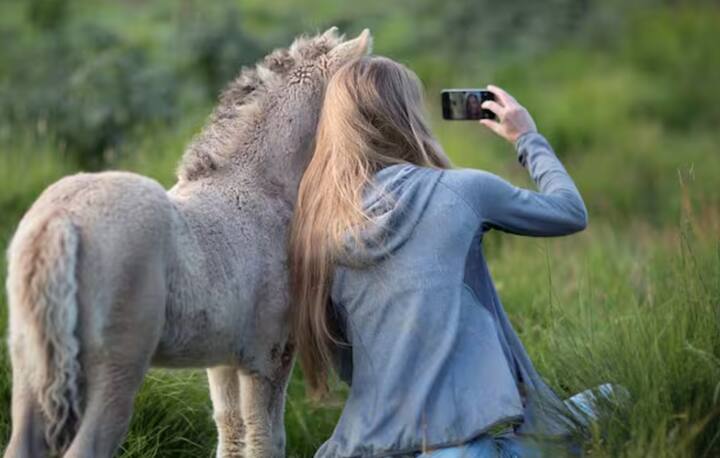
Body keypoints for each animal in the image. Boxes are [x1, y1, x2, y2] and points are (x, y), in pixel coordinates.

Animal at [5, 26, 374, 456]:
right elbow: (265, 439)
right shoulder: (269, 357)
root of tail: (62, 218)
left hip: (32, 364)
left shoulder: (224, 360)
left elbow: (232, 431)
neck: (260, 188)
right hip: (115, 371)